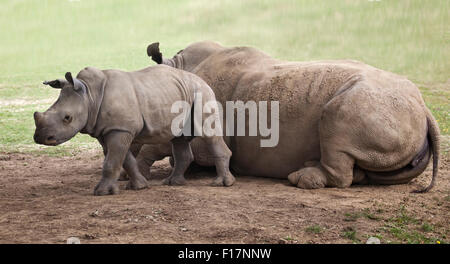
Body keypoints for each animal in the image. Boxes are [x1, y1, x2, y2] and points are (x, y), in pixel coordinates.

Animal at [33, 65, 234, 195]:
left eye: (67, 118)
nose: (41, 138)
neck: (90, 95)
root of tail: (202, 79)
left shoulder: (119, 130)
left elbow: (112, 161)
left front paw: (101, 192)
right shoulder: (109, 130)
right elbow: (125, 159)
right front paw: (140, 187)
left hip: (201, 93)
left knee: (209, 134)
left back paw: (222, 184)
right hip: (180, 92)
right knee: (178, 139)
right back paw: (173, 183)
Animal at [138, 40, 440, 193]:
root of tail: (424, 109)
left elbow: (160, 145)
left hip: (371, 105)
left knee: (336, 120)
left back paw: (300, 179)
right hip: (394, 109)